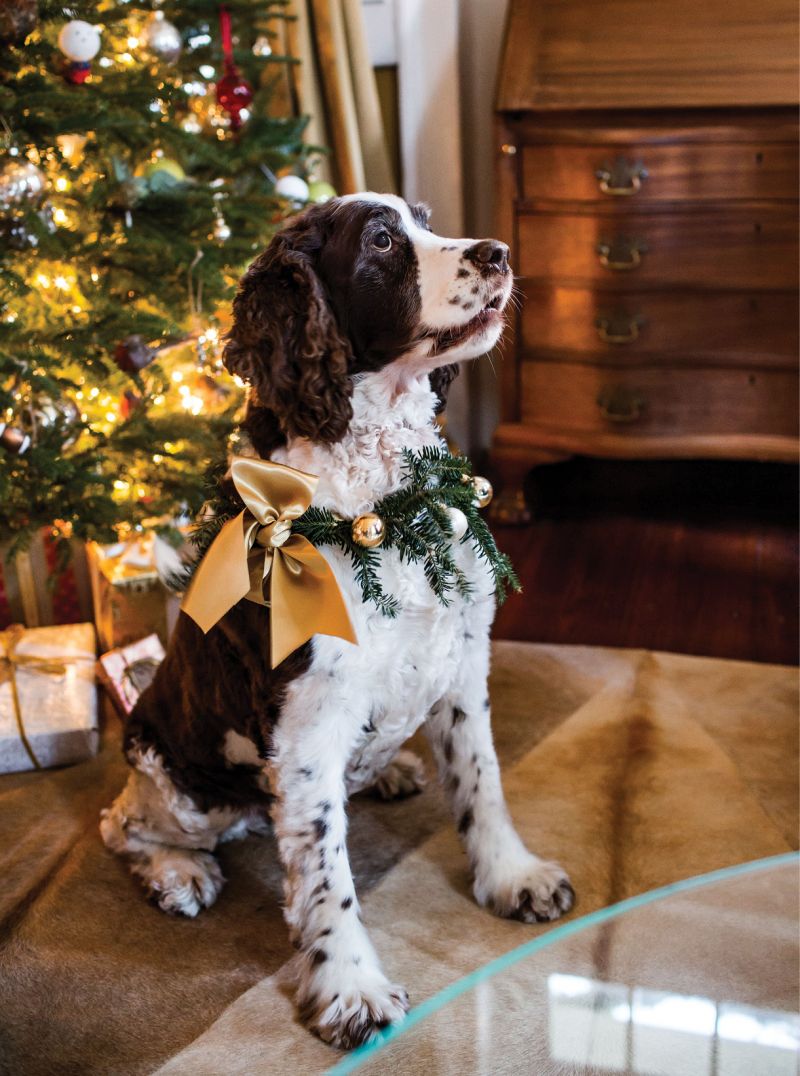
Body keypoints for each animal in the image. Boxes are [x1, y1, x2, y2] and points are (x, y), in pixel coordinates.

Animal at [101, 193, 577, 1050]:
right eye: (381, 241)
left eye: (427, 218)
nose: (497, 253)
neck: (382, 501)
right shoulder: (306, 724)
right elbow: (325, 871)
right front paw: (350, 990)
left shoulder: (463, 660)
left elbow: (483, 782)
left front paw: (511, 877)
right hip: (181, 782)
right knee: (123, 824)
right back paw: (179, 872)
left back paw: (388, 767)